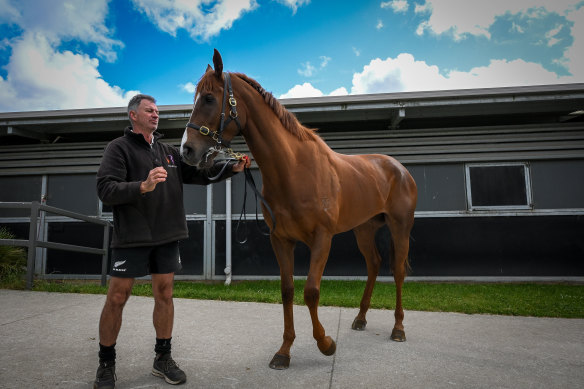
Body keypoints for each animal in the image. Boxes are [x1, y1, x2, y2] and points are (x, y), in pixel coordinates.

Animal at [180, 50, 418, 368]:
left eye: (208, 98)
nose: (187, 150)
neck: (294, 168)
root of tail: (399, 169)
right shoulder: (281, 240)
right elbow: (288, 291)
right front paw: (284, 351)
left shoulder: (322, 238)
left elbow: (312, 292)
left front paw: (326, 343)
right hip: (364, 229)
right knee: (374, 265)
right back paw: (360, 318)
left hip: (400, 226)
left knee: (398, 271)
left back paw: (399, 328)